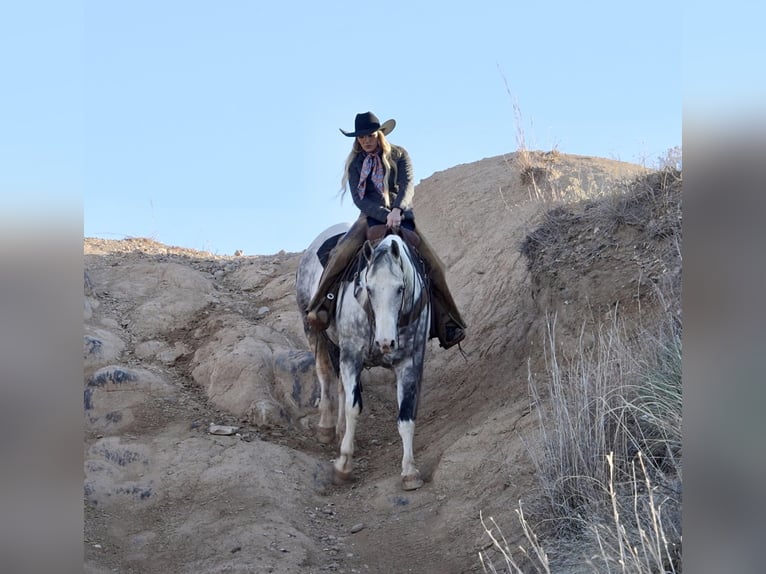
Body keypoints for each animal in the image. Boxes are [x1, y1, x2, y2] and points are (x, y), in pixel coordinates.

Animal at [296, 224, 432, 490]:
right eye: (368, 289)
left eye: (400, 288)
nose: (385, 342)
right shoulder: (352, 356)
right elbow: (353, 407)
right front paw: (343, 465)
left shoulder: (410, 363)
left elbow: (406, 416)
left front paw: (410, 471)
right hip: (314, 331)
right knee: (325, 375)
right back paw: (327, 427)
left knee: (339, 385)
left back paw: (341, 432)